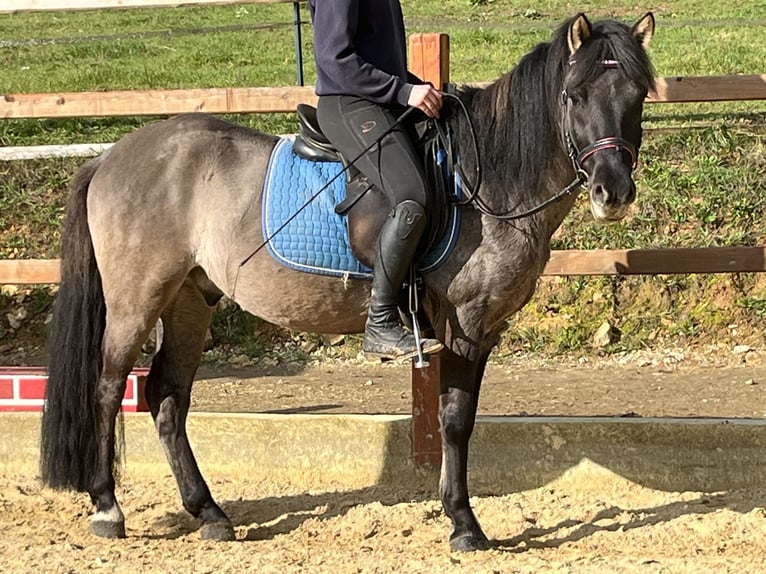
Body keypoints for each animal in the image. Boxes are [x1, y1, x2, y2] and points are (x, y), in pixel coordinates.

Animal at [39, 12, 656, 552]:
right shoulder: (465, 325)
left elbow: (458, 419)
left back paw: (209, 513)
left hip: (190, 299)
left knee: (167, 397)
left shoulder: (484, 332)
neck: (484, 181)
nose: (613, 192)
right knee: (107, 387)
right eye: (574, 96)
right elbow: (456, 422)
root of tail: (111, 156)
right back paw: (107, 508)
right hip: (136, 299)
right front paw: (464, 526)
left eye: (638, 97)